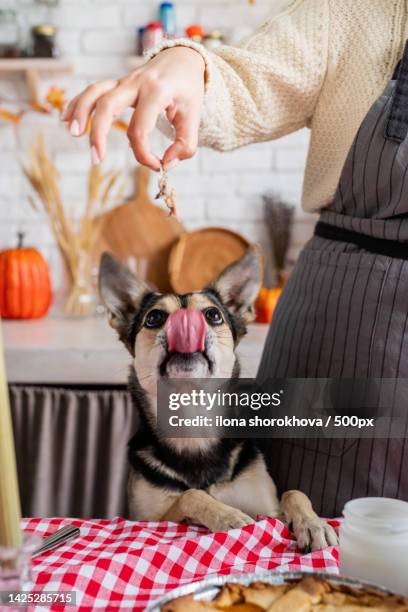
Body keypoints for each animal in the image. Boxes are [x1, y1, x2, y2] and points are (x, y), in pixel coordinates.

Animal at [99, 246, 338, 552]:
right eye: (153, 318)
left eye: (213, 315)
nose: (187, 324)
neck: (192, 422)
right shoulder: (147, 518)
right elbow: (191, 495)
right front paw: (229, 516)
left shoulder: (269, 508)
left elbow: (294, 493)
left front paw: (314, 524)